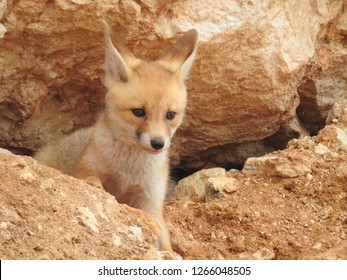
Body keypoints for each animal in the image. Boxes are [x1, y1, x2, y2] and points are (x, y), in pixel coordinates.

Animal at [35, 23, 200, 252]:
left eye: (170, 115)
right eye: (138, 112)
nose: (158, 143)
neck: (127, 170)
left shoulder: (151, 201)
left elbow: (164, 241)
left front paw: (168, 253)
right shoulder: (86, 166)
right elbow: (90, 177)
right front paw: (94, 185)